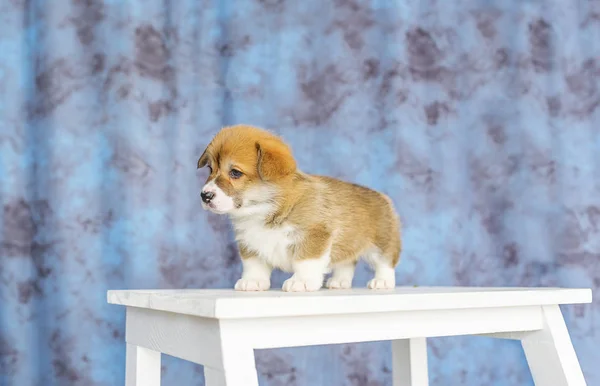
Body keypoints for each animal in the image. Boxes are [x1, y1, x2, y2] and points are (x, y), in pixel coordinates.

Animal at [198, 125, 404, 292]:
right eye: (210, 170)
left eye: (235, 173)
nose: (204, 195)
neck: (265, 208)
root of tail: (382, 196)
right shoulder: (249, 243)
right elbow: (254, 265)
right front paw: (252, 282)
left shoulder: (313, 236)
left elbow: (305, 262)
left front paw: (301, 282)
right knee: (347, 262)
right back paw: (339, 282)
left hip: (382, 243)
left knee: (386, 263)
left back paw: (382, 282)